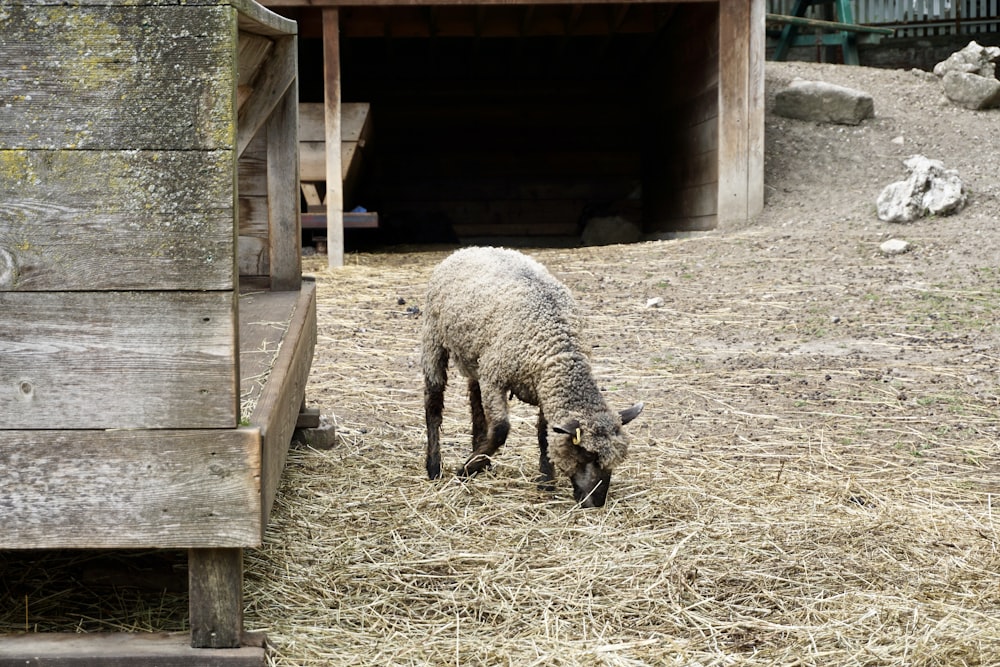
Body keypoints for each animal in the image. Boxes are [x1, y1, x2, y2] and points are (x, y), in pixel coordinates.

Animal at [420, 248, 640, 508]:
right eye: (587, 453)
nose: (597, 504)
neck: (557, 349)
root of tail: (470, 249)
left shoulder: (544, 388)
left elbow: (544, 435)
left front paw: (546, 482)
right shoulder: (495, 378)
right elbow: (501, 429)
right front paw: (465, 469)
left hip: (476, 357)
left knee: (475, 402)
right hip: (434, 338)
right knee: (434, 404)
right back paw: (435, 467)